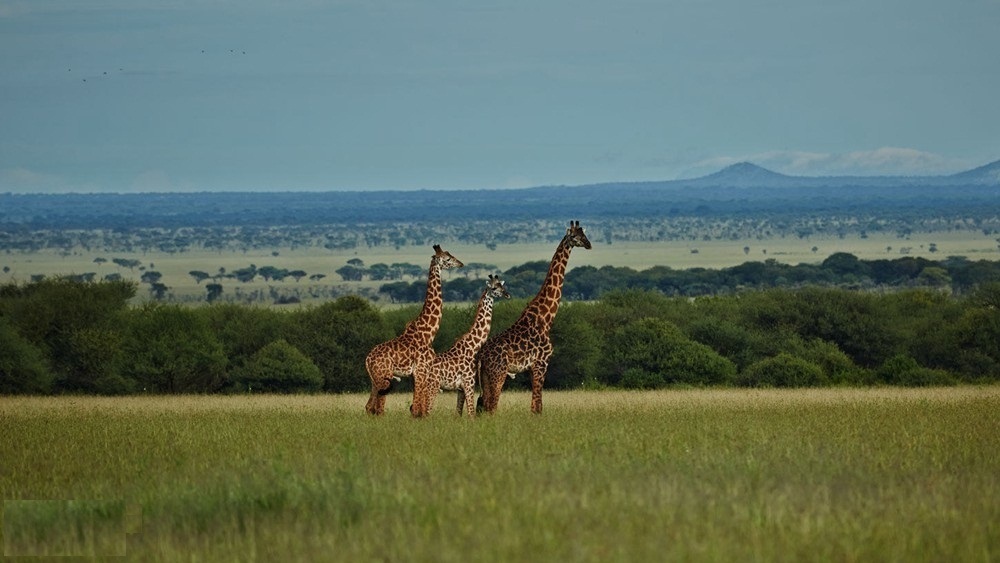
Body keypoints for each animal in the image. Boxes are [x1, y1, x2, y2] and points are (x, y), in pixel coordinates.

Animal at [364, 245, 464, 416]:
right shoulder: (421, 371)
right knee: (379, 408)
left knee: (369, 407)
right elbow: (418, 408)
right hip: (384, 377)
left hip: (374, 380)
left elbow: (416, 407)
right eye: (448, 258)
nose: (461, 264)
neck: (428, 332)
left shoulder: (415, 374)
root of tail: (368, 359)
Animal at [426, 276, 512, 416]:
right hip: (432, 386)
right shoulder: (469, 383)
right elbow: (471, 413)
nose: (507, 294)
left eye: (502, 286)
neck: (473, 346)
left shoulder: (461, 388)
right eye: (494, 288)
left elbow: (458, 413)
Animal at [478, 220, 592, 414]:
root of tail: (481, 355)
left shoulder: (532, 368)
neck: (545, 318)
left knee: (484, 403)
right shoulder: (541, 363)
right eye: (574, 236)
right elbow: (537, 407)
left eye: (584, 233)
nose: (588, 244)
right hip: (498, 373)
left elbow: (536, 405)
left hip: (486, 375)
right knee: (491, 405)